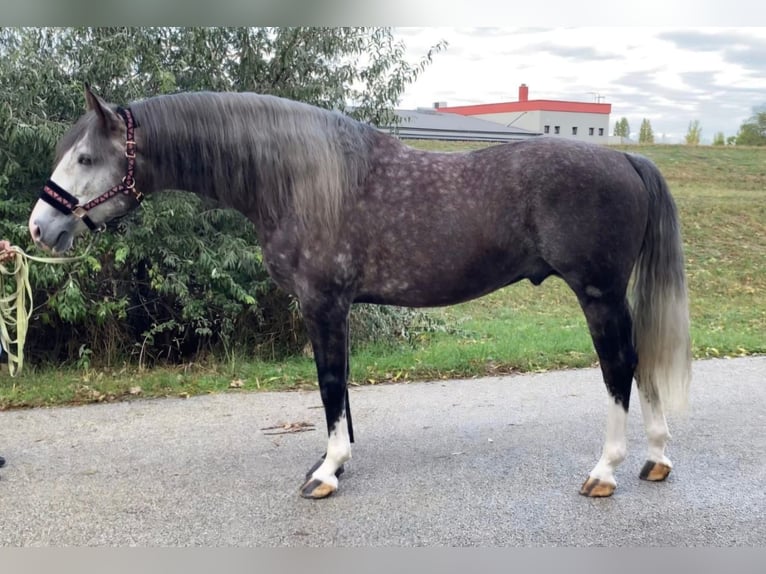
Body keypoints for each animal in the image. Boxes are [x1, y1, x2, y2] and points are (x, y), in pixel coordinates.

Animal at [28, 85, 696, 500]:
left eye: (85, 157)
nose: (39, 228)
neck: (297, 178)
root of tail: (627, 159)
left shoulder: (323, 303)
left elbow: (329, 384)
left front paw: (326, 472)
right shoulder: (335, 307)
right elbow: (342, 384)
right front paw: (334, 461)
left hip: (598, 293)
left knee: (619, 367)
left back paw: (605, 470)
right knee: (640, 364)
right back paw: (657, 459)